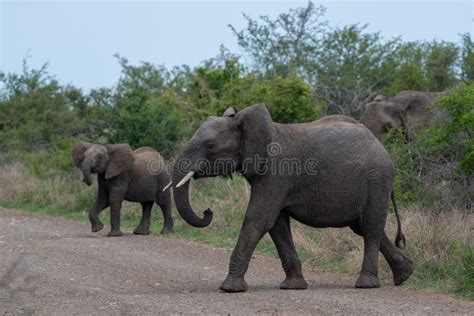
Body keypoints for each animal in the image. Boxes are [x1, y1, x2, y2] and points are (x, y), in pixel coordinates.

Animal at [168, 105, 414, 292]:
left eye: (210, 145)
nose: (207, 211)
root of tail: (382, 148)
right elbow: (277, 225)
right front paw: (293, 286)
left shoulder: (275, 173)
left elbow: (258, 219)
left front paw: (229, 289)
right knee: (364, 226)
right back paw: (405, 275)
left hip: (377, 179)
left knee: (371, 227)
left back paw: (366, 285)